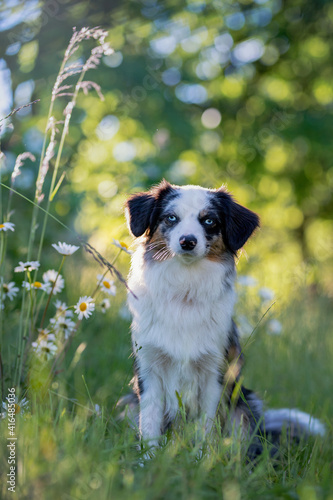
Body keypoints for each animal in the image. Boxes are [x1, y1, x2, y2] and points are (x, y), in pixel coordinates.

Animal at [122, 181, 324, 458]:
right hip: (131, 402)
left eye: (209, 221)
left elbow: (207, 425)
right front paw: (148, 461)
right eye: (171, 218)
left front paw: (202, 461)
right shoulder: (149, 369)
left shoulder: (215, 372)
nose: (187, 241)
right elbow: (150, 424)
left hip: (245, 405)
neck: (184, 291)